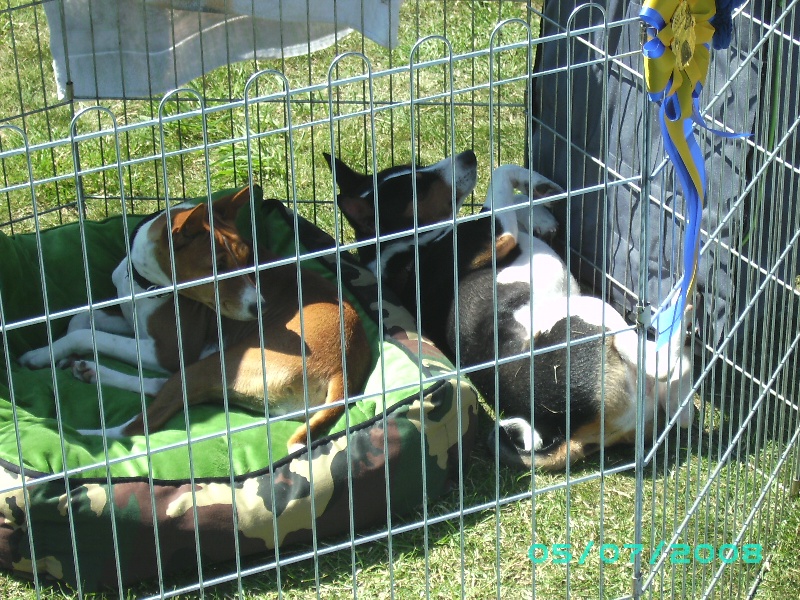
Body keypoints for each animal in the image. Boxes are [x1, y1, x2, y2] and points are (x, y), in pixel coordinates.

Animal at [19, 186, 372, 451]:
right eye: (218, 266)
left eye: (247, 258)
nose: (261, 307)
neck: (144, 286)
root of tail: (344, 368)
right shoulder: (133, 323)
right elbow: (79, 321)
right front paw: (55, 352)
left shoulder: (170, 351)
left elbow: (85, 334)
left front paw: (38, 356)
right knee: (163, 388)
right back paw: (89, 372)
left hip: (220, 362)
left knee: (142, 424)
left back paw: (83, 440)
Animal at [329, 152, 694, 470]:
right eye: (418, 185)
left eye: (417, 168)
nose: (468, 154)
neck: (401, 249)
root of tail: (568, 434)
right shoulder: (497, 234)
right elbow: (502, 174)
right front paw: (536, 187)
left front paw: (540, 212)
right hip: (588, 312)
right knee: (662, 365)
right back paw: (680, 310)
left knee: (682, 404)